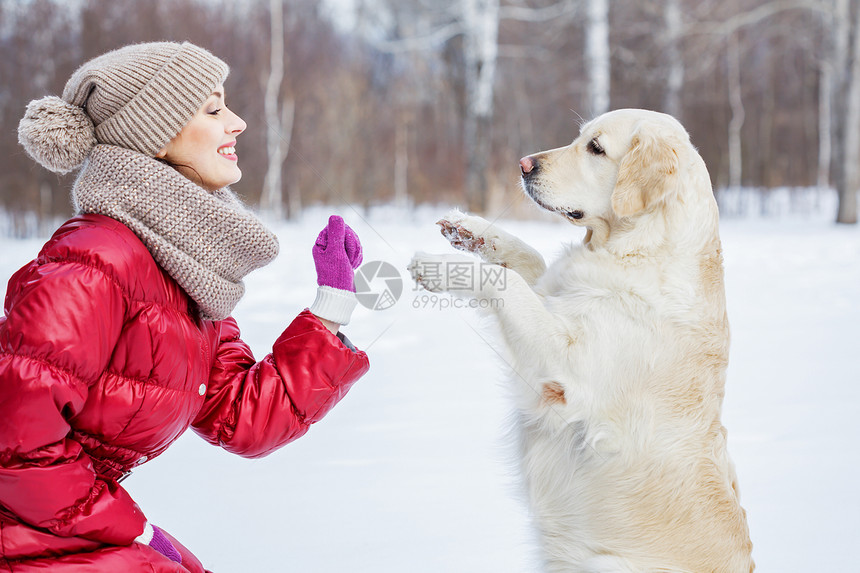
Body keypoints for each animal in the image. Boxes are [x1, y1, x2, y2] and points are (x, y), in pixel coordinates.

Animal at [410, 109, 752, 568]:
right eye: (580, 137)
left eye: (596, 148)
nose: (524, 165)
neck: (637, 248)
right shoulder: (553, 297)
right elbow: (528, 259)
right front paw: (469, 228)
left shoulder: (562, 369)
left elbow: (505, 282)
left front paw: (437, 267)